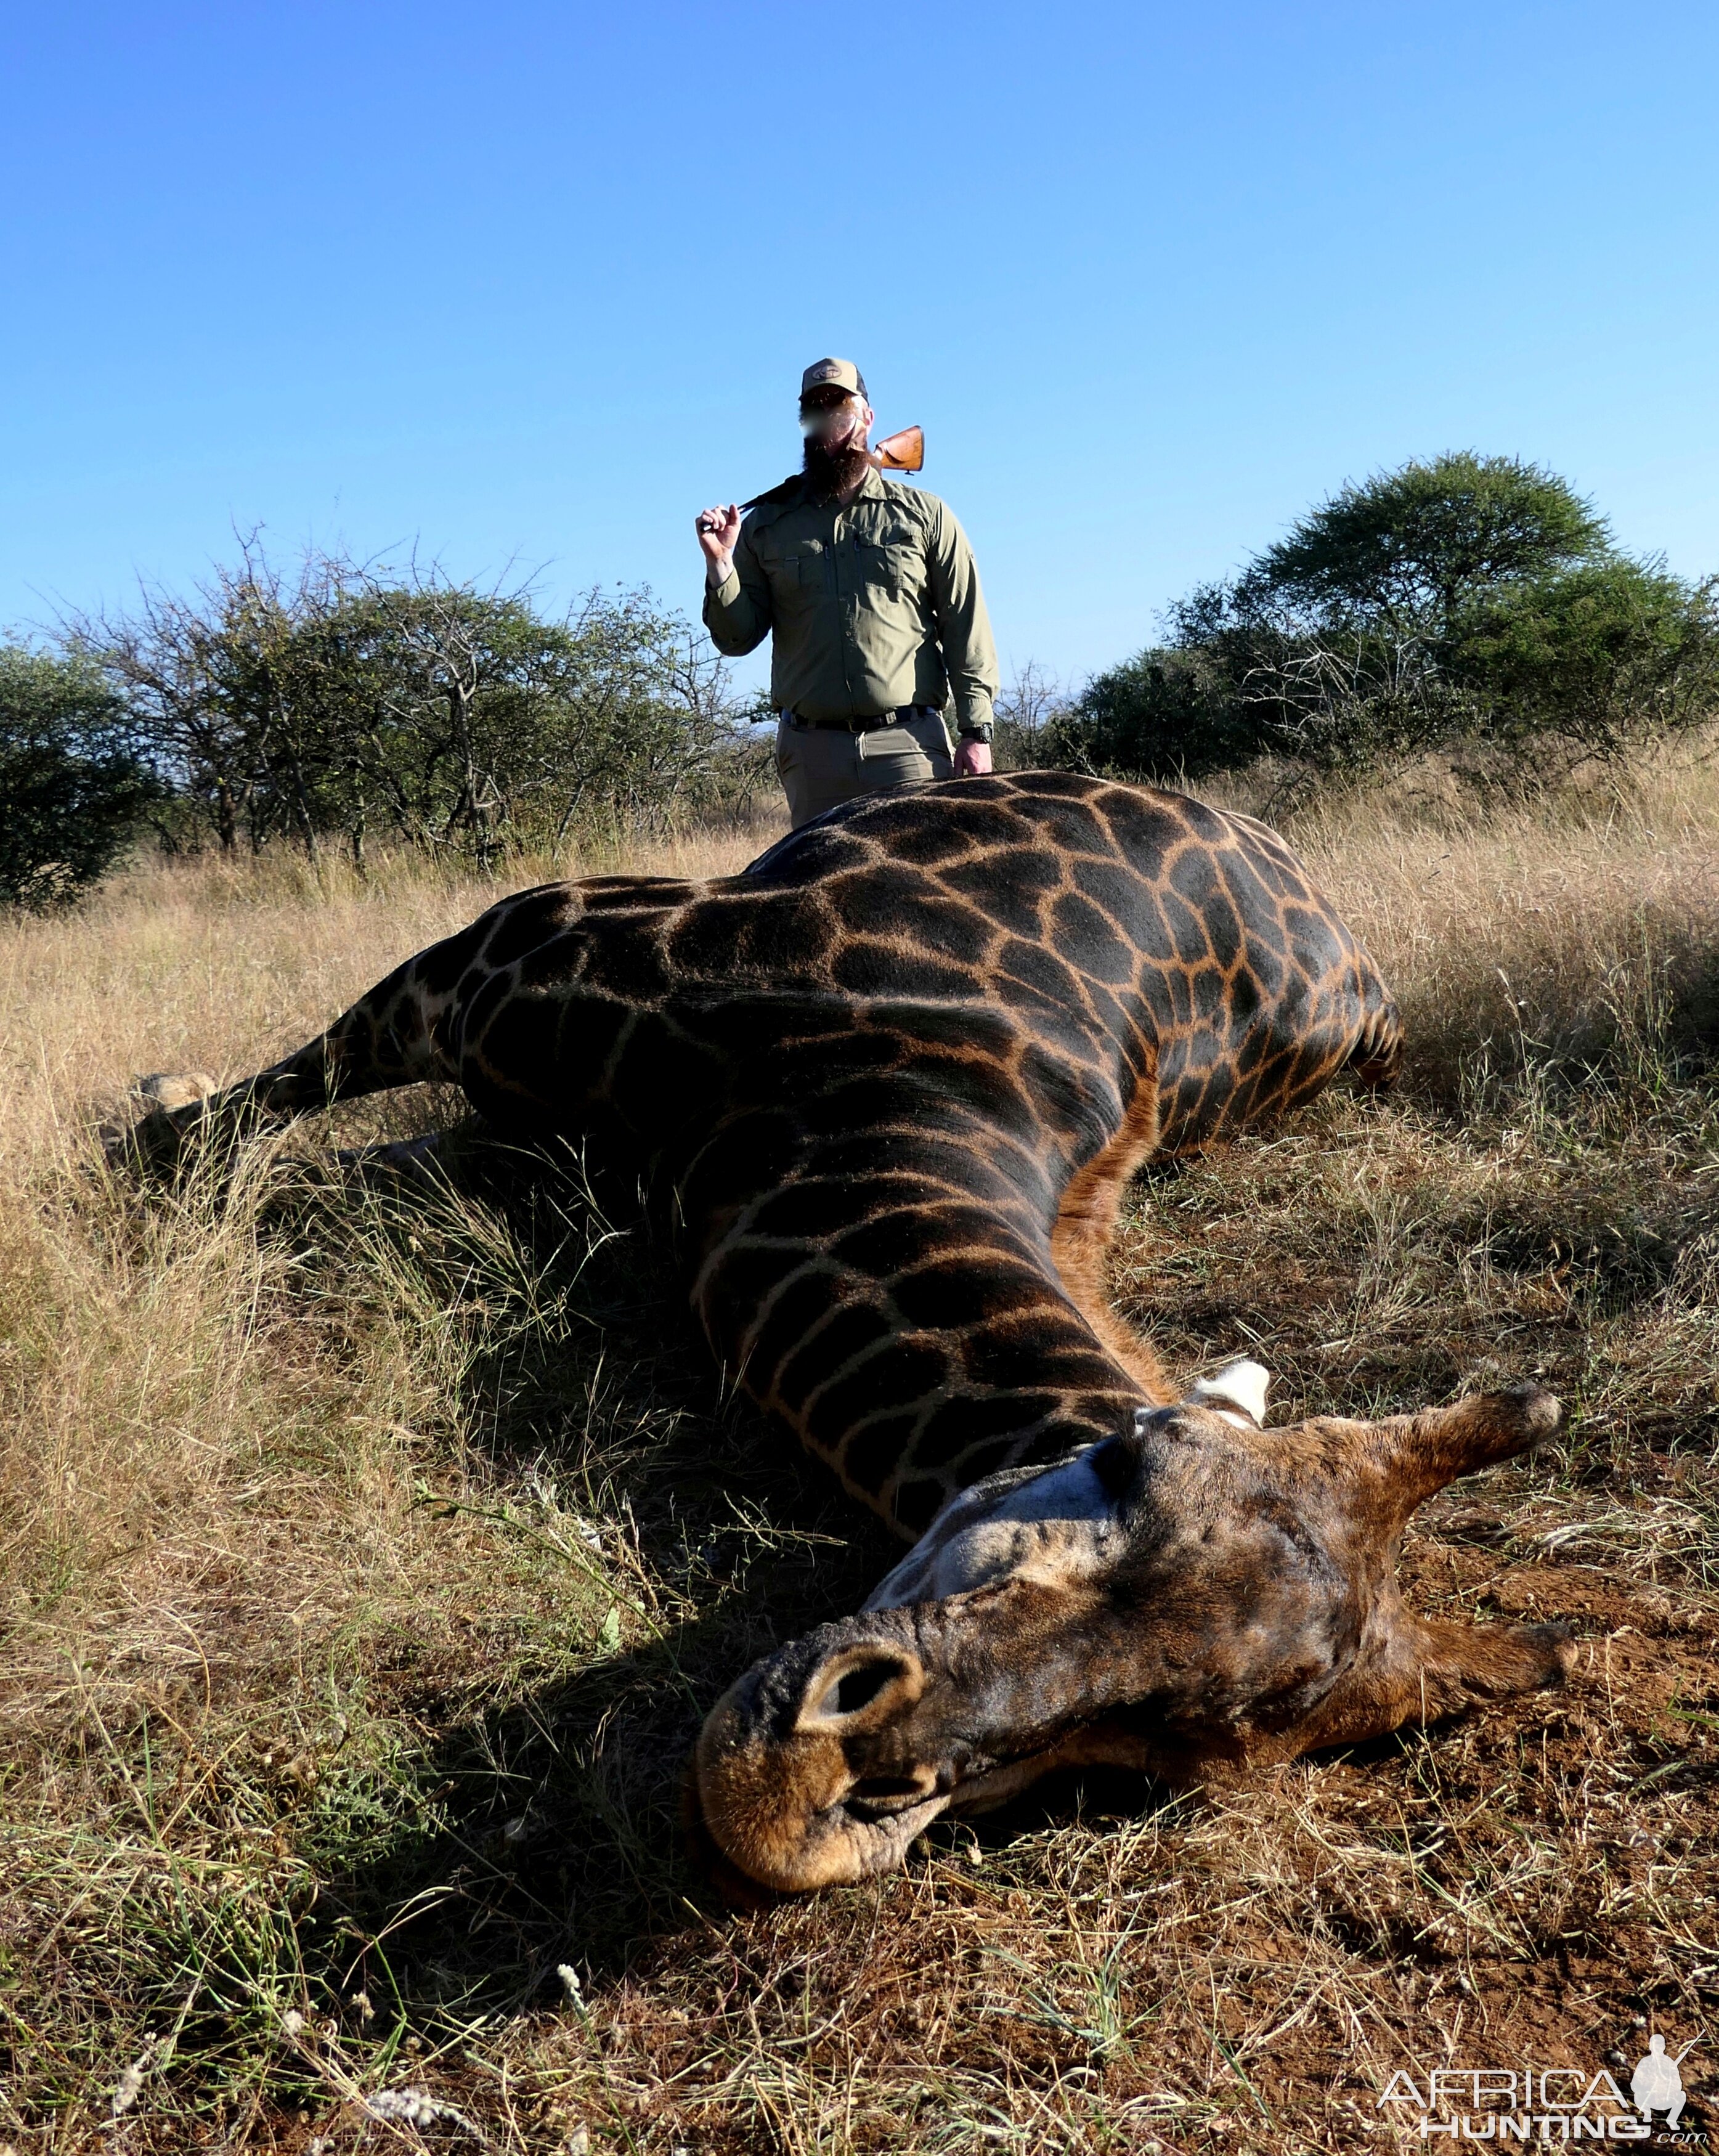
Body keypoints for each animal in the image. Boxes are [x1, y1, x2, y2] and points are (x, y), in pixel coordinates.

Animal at [117, 776, 1570, 1889]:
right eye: (1120, 1464)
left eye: (1168, 1742)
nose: (801, 1785)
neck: (838, 1097)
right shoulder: (511, 953)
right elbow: (241, 1123)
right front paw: (150, 1108)